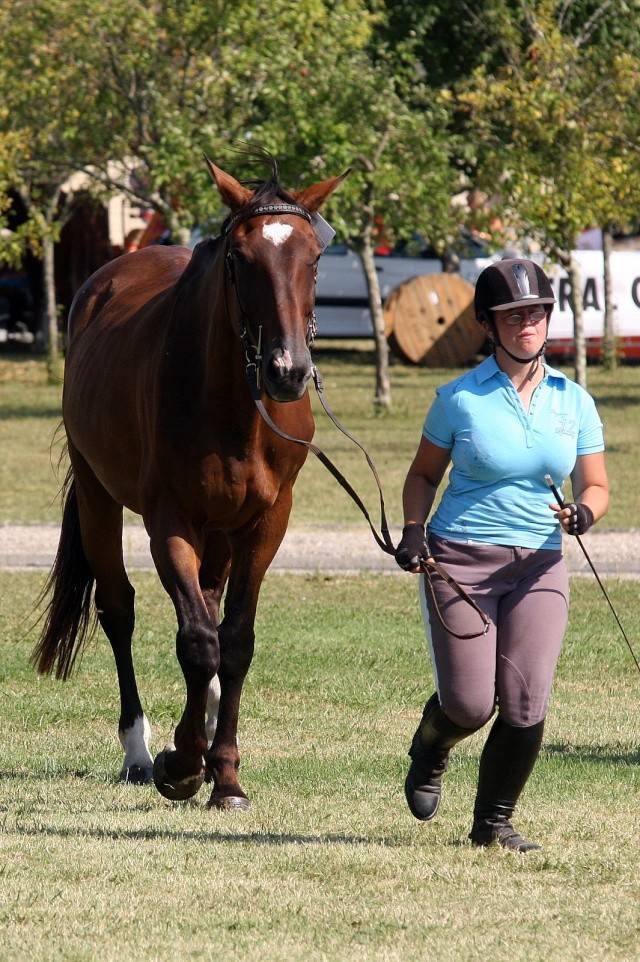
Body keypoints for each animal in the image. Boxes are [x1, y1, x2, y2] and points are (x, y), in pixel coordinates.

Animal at [32, 152, 348, 808]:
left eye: (313, 258)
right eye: (240, 258)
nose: (288, 371)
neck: (232, 405)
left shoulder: (265, 523)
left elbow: (236, 641)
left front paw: (224, 773)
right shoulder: (170, 521)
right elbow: (198, 641)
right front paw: (181, 762)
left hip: (222, 531)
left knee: (210, 604)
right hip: (98, 495)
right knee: (120, 609)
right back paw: (139, 751)